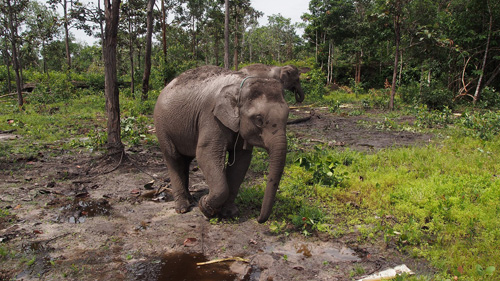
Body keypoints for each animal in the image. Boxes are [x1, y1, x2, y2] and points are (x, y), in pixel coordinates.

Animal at [155, 64, 290, 222]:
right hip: (162, 126)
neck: (240, 86)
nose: (258, 219)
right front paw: (205, 208)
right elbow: (206, 153)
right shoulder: (211, 116)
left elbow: (241, 160)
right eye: (258, 120)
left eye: (287, 116)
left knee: (185, 160)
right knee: (173, 158)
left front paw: (229, 213)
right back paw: (183, 208)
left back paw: (190, 200)